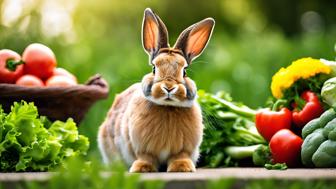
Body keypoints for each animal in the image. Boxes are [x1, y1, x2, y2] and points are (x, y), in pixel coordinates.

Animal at [98, 8, 214, 172]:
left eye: (184, 71)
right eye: (154, 68)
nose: (169, 87)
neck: (167, 107)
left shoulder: (183, 149)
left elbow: (180, 156)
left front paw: (182, 168)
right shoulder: (142, 148)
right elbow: (146, 157)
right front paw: (142, 168)